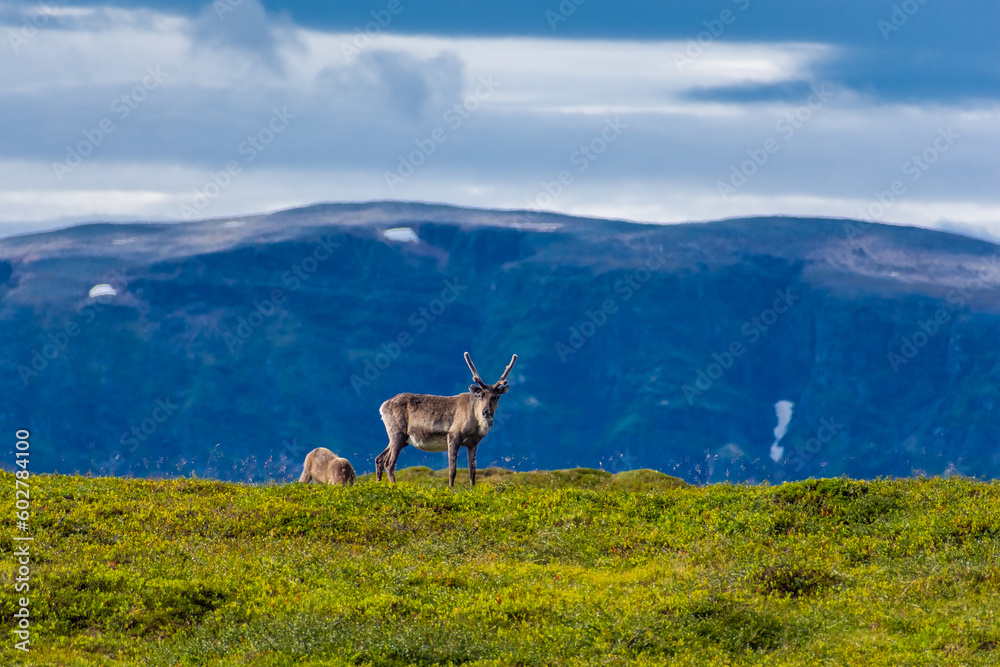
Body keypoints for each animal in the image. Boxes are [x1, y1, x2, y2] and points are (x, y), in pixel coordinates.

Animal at [376, 351, 517, 487]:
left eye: (496, 396)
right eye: (480, 395)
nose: (486, 412)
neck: (475, 425)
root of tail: (382, 407)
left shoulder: (473, 443)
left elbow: (472, 472)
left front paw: (472, 489)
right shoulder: (453, 435)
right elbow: (452, 470)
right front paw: (450, 488)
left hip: (402, 438)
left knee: (379, 459)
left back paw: (379, 484)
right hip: (397, 433)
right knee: (389, 463)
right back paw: (393, 486)